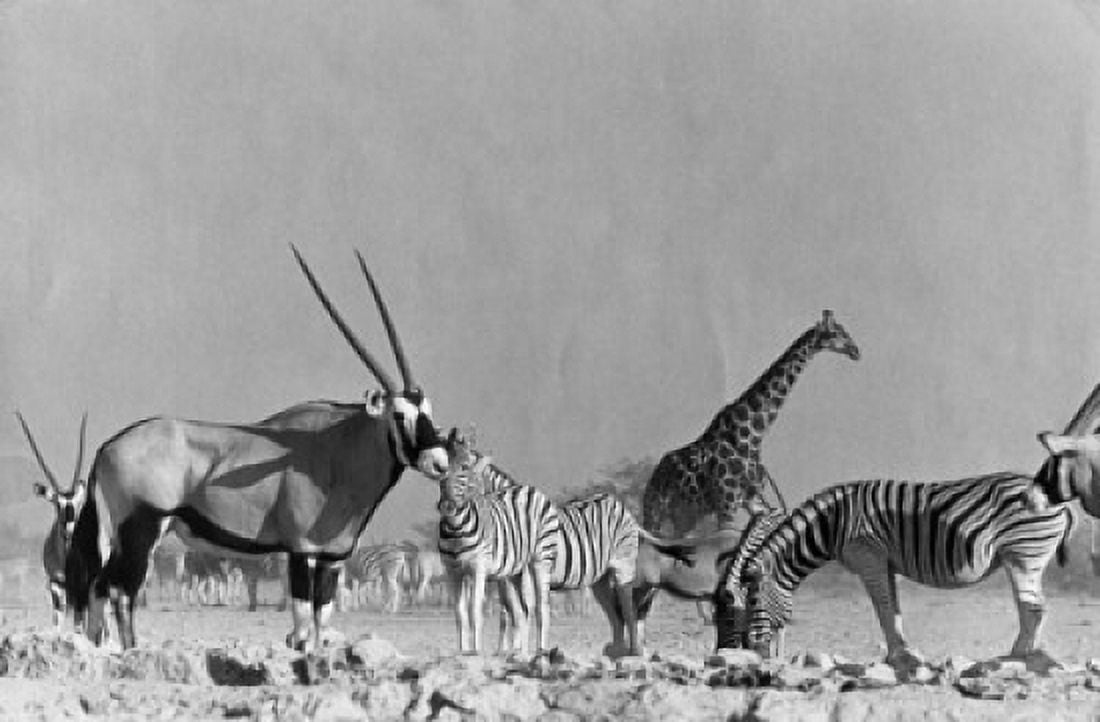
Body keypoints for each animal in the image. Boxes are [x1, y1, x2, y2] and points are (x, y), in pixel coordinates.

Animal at [437, 432, 560, 655]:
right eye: (441, 468)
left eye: (465, 467)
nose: (447, 507)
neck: (456, 528)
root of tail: (530, 488)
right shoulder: (453, 571)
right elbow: (460, 613)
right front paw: (462, 651)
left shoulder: (479, 568)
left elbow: (475, 610)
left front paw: (475, 651)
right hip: (512, 572)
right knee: (521, 611)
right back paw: (520, 653)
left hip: (541, 558)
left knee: (541, 607)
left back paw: (540, 651)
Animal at [642, 310, 860, 538]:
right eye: (837, 333)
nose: (856, 351)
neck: (753, 434)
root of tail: (656, 473)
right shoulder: (726, 505)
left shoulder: (753, 501)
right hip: (656, 511)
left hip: (686, 514)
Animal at [738, 474, 1073, 672]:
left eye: (753, 602)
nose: (755, 652)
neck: (830, 524)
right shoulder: (884, 562)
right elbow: (893, 609)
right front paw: (902, 654)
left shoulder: (868, 555)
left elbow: (883, 608)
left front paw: (899, 656)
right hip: (1024, 556)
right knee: (1033, 607)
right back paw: (1023, 655)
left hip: (1023, 554)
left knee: (1034, 607)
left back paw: (1018, 656)